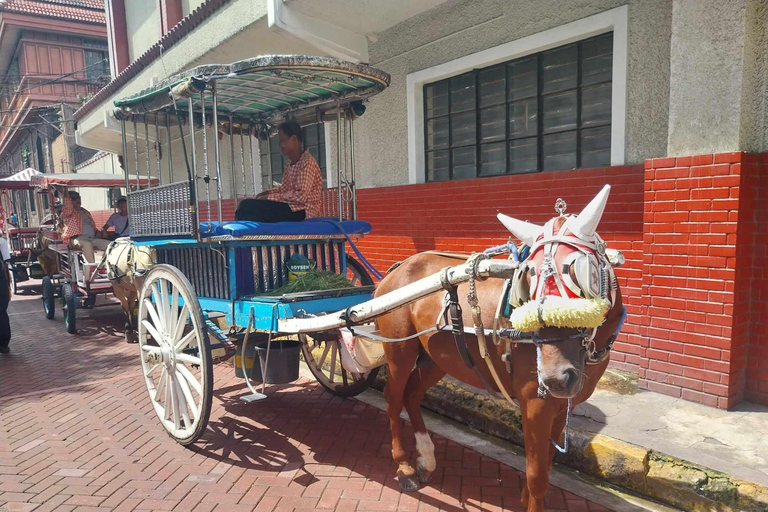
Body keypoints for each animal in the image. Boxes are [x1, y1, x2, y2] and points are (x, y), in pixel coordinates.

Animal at [376, 187, 624, 512]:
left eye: (583, 273)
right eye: (528, 276)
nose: (554, 378)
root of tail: (397, 270)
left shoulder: (559, 406)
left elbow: (547, 462)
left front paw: (524, 496)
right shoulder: (536, 404)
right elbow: (537, 475)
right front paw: (530, 497)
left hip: (435, 359)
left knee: (411, 396)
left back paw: (426, 458)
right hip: (400, 353)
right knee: (393, 398)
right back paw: (404, 466)